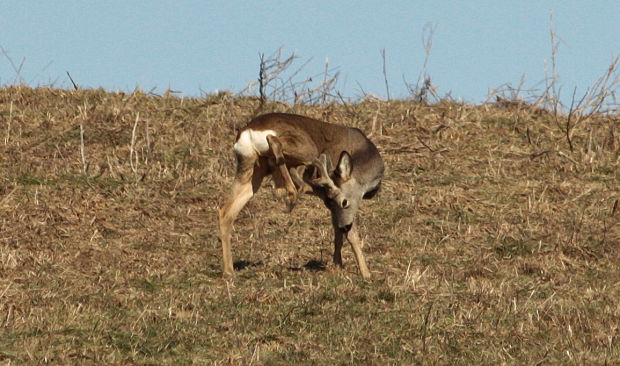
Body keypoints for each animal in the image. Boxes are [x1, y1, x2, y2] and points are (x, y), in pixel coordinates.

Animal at [218, 113, 382, 278]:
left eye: (331, 202)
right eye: (344, 202)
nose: (345, 226)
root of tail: (248, 132)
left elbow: (337, 232)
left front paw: (338, 265)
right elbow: (351, 234)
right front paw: (366, 273)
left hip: (251, 169)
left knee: (226, 211)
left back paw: (228, 271)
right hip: (305, 148)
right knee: (277, 143)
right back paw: (291, 194)